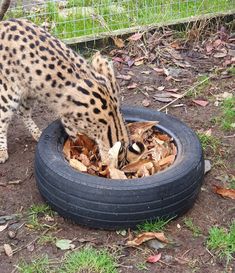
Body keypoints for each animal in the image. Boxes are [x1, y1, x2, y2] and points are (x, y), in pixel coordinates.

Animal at [0, 19, 143, 165]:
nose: (107, 169)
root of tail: (4, 22)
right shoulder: (68, 119)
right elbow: (78, 140)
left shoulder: (104, 69)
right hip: (8, 92)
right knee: (3, 119)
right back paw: (2, 152)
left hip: (31, 89)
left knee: (23, 112)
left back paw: (37, 133)